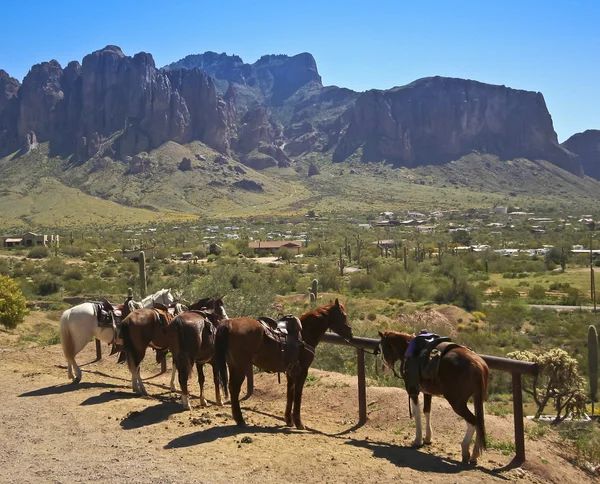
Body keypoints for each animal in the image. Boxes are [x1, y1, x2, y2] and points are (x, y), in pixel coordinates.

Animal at [214, 298, 352, 428]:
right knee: (234, 389)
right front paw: (298, 422)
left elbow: (290, 393)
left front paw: (289, 420)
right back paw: (240, 420)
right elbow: (298, 394)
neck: (305, 333)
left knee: (232, 388)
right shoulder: (303, 370)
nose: (350, 333)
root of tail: (229, 323)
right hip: (240, 367)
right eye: (344, 315)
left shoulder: (291, 371)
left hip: (233, 366)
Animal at [378, 330, 490, 464]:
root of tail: (478, 364)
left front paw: (418, 440)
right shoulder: (427, 392)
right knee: (479, 423)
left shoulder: (412, 389)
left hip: (457, 403)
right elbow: (427, 411)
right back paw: (474, 455)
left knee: (473, 421)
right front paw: (427, 438)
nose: (383, 369)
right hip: (477, 399)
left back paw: (465, 451)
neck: (409, 350)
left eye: (382, 347)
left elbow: (417, 413)